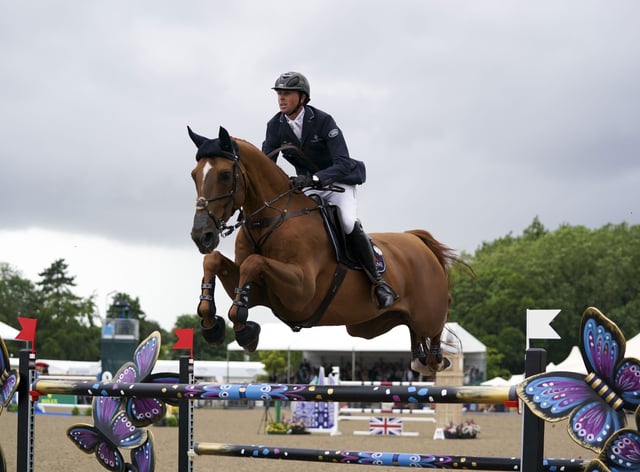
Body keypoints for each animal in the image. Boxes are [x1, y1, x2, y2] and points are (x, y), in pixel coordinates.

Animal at [188, 127, 458, 374]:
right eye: (194, 175)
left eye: (225, 174)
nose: (202, 236)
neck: (273, 218)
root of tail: (417, 240)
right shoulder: (261, 293)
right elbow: (214, 261)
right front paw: (212, 325)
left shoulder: (302, 291)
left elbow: (253, 262)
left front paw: (245, 331)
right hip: (368, 325)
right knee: (413, 334)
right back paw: (418, 356)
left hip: (427, 315)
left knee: (435, 332)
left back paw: (435, 354)